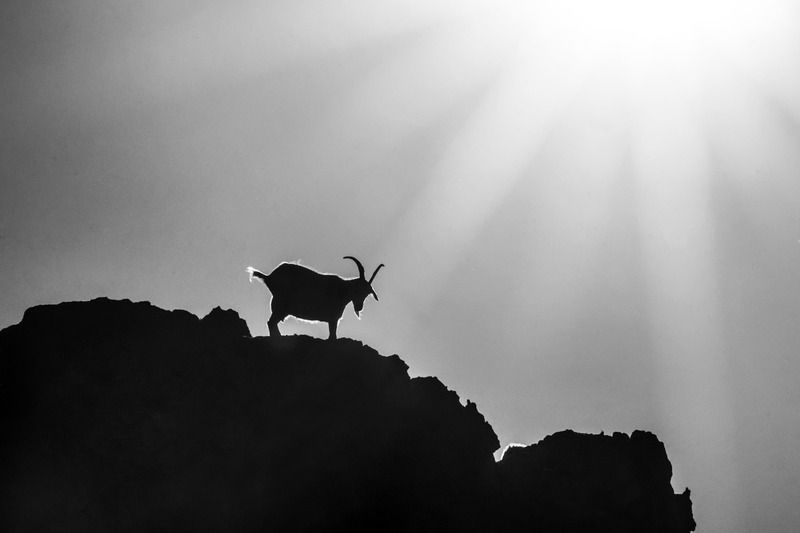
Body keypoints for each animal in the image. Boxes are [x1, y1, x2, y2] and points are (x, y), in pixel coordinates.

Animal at [246, 256, 384, 340]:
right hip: (280, 304)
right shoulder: (333, 319)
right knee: (271, 323)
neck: (342, 290)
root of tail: (269, 277)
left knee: (272, 323)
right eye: (357, 289)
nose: (359, 307)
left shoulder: (332, 319)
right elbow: (332, 336)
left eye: (367, 294)